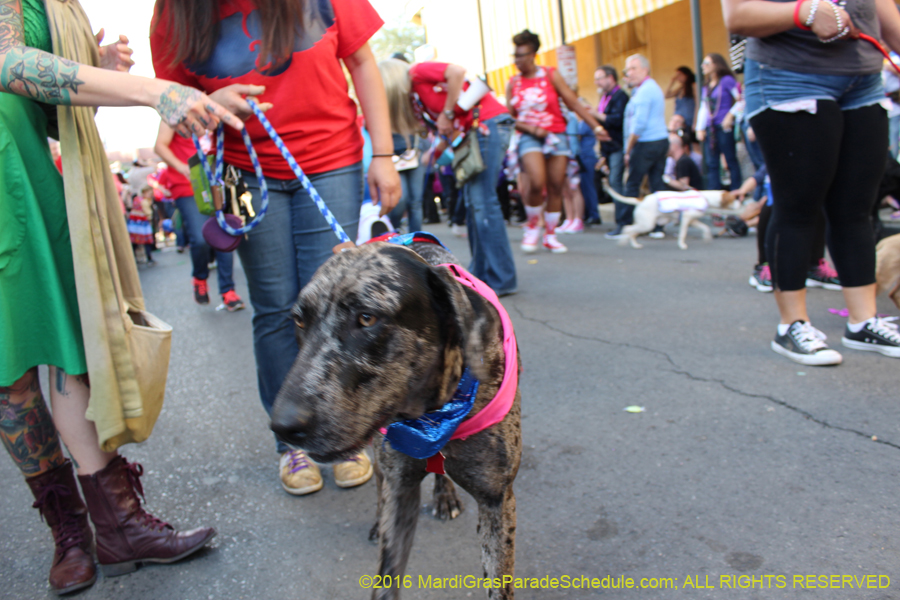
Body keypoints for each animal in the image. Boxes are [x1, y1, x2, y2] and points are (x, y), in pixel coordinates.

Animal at [268, 240, 520, 600]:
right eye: (300, 321)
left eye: (367, 318)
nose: (284, 426)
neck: (433, 416)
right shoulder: (400, 491)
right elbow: (385, 580)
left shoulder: (496, 501)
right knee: (380, 486)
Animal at [604, 183, 740, 248]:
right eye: (734, 199)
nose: (741, 202)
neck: (706, 197)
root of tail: (642, 199)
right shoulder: (686, 218)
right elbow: (683, 234)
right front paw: (682, 245)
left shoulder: (693, 220)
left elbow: (705, 228)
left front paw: (707, 238)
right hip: (646, 224)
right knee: (627, 229)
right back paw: (623, 242)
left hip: (644, 224)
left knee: (631, 232)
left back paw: (635, 245)